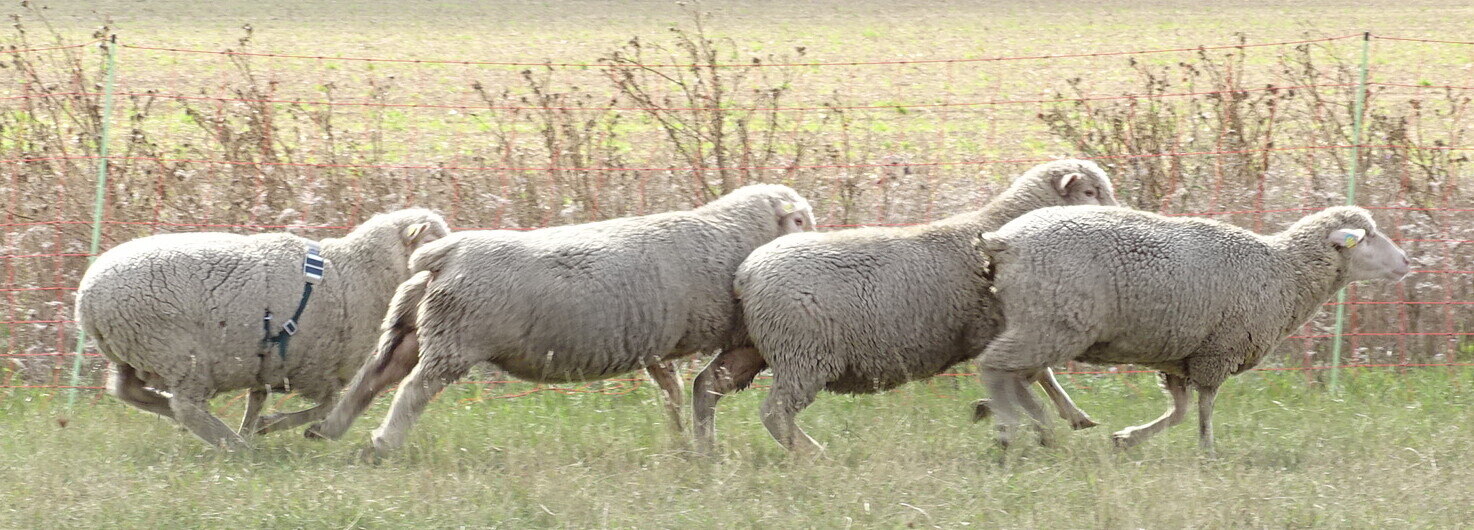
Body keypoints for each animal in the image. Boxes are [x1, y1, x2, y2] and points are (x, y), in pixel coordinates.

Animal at [74, 207, 448, 447]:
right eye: (437, 239)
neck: (354, 272)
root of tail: (86, 301)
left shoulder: (267, 361)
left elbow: (259, 398)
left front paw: (255, 426)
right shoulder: (314, 366)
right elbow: (326, 405)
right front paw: (270, 426)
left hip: (133, 351)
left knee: (127, 391)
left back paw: (201, 425)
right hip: (177, 352)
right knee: (187, 406)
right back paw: (233, 445)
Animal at [305, 183, 819, 456]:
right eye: (799, 221)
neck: (728, 234)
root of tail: (444, 254)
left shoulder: (656, 343)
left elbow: (674, 390)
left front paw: (680, 440)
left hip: (413, 329)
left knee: (372, 379)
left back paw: (326, 430)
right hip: (455, 338)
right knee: (411, 391)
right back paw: (383, 441)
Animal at [692, 159, 1114, 453]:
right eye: (1090, 193)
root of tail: (747, 273)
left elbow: (1039, 376)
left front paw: (1072, 417)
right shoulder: (1000, 329)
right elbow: (1036, 373)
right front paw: (1017, 413)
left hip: (753, 347)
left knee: (707, 386)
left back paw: (706, 450)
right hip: (804, 354)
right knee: (775, 412)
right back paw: (812, 453)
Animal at [972, 204, 1409, 450]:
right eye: (1367, 237)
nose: (1407, 261)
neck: (1287, 272)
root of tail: (1003, 241)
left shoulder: (1180, 357)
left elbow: (1179, 411)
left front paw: (1128, 439)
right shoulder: (1218, 352)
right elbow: (1203, 410)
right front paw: (1208, 451)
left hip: (1042, 319)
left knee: (1022, 373)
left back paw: (1046, 420)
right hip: (1055, 319)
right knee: (995, 366)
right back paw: (1010, 427)